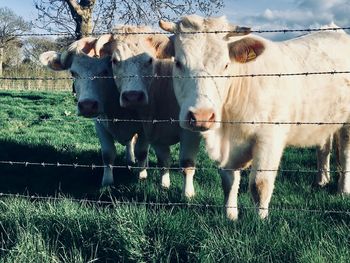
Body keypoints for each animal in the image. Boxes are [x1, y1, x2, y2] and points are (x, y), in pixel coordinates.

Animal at [39, 36, 149, 188]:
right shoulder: (100, 124)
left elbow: (142, 152)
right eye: (73, 73)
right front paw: (107, 182)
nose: (87, 105)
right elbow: (108, 154)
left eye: (105, 71)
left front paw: (141, 176)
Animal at [98, 26, 202, 198]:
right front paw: (164, 184)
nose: (132, 96)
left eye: (149, 60)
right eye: (114, 61)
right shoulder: (153, 131)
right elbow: (162, 161)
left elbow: (186, 164)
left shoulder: (189, 133)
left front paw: (187, 194)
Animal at [161, 14, 350, 221]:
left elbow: (260, 184)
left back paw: (343, 189)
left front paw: (261, 220)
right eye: (178, 63)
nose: (202, 116)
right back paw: (321, 180)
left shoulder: (269, 138)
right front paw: (230, 215)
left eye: (225, 65)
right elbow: (229, 182)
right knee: (323, 148)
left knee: (345, 154)